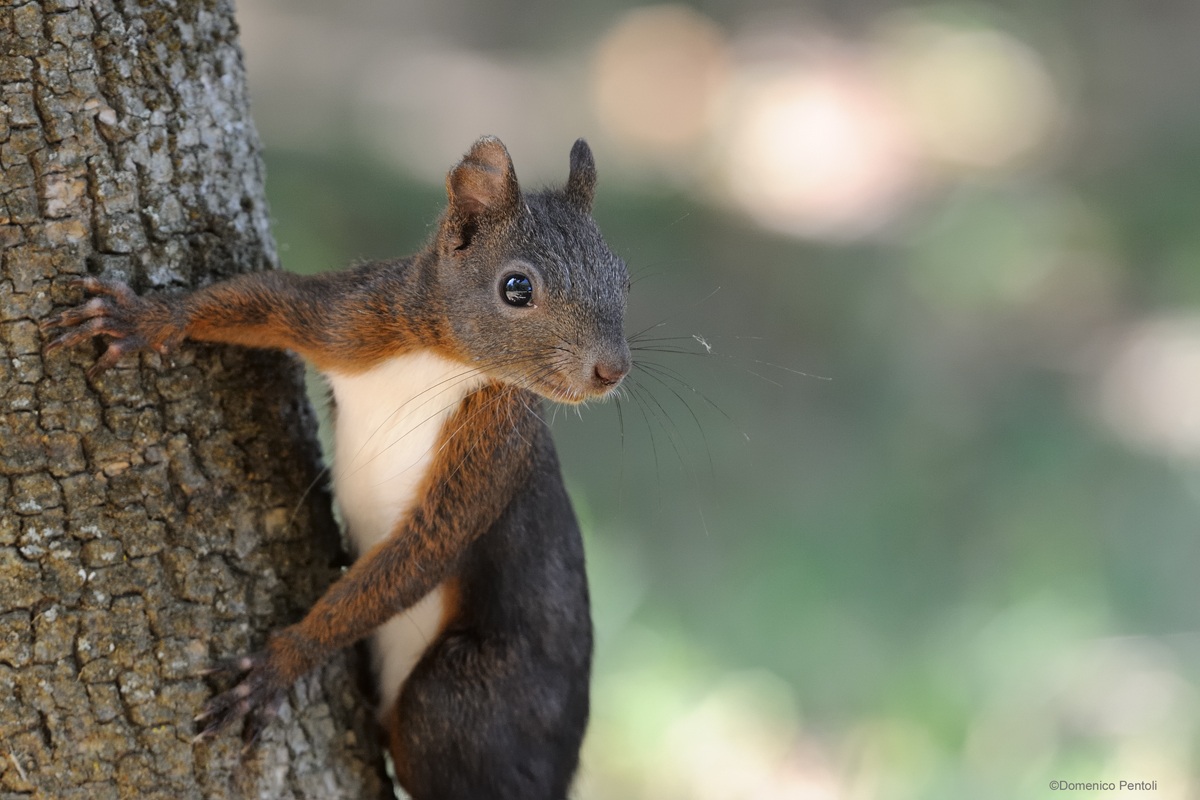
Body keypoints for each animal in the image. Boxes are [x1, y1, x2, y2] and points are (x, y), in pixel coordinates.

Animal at [41, 136, 631, 800]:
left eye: (625, 281)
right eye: (516, 288)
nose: (613, 370)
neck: (447, 362)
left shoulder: (493, 453)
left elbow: (417, 556)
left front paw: (281, 664)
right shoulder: (354, 318)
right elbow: (263, 299)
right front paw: (150, 320)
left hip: (464, 703)